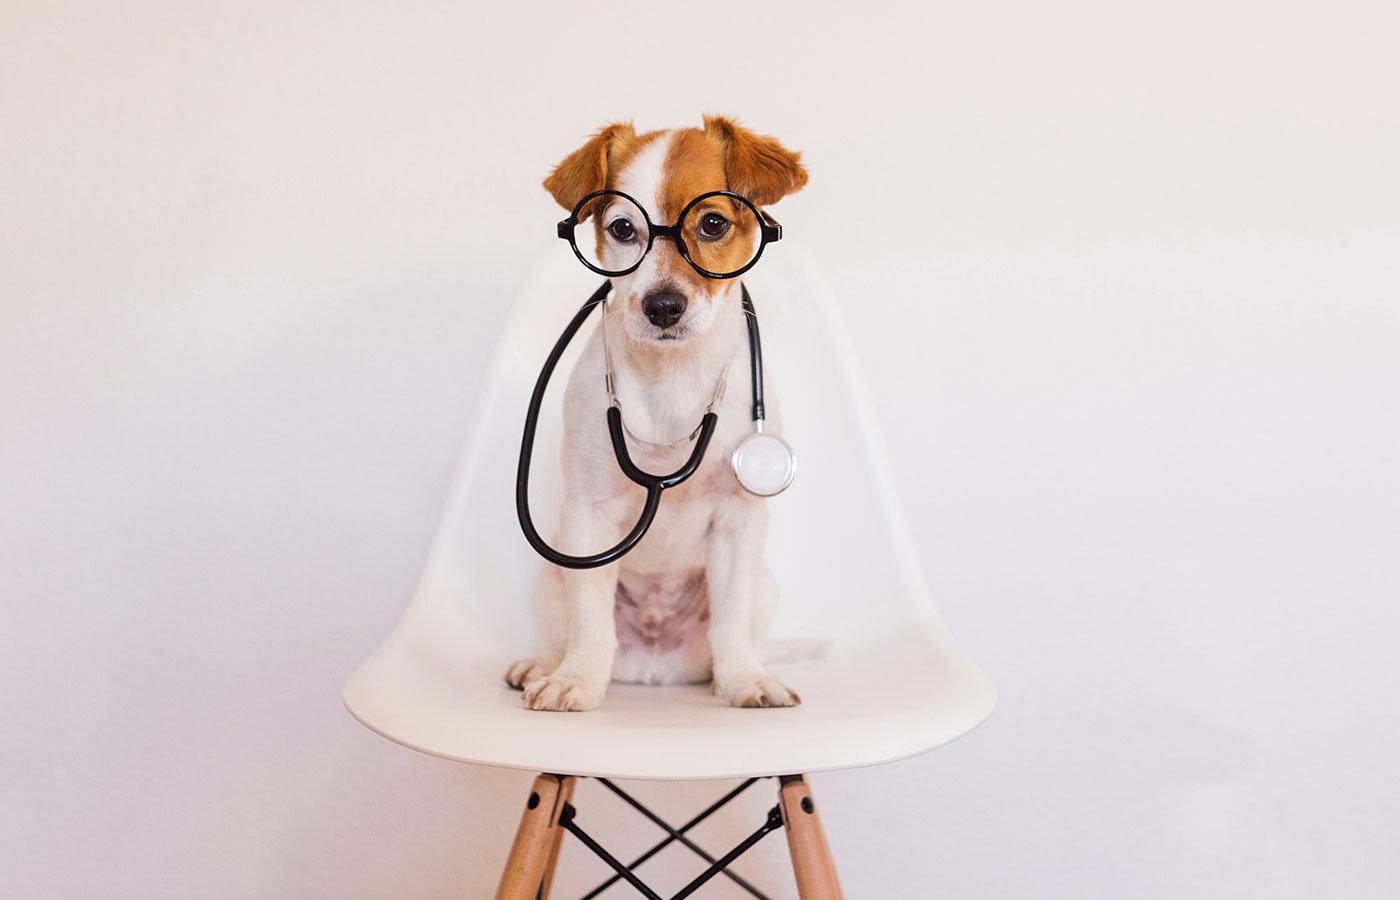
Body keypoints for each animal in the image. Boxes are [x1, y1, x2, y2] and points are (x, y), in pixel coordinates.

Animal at [504, 118, 812, 711]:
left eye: (713, 223)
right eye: (624, 229)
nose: (663, 306)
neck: (671, 378)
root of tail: (654, 666)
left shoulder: (739, 522)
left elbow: (732, 617)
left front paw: (744, 678)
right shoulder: (588, 519)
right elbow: (590, 617)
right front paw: (577, 679)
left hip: (764, 583)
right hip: (551, 567)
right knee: (566, 628)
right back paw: (545, 664)